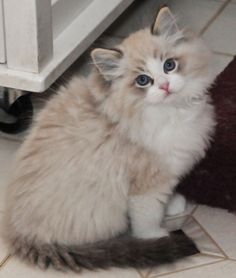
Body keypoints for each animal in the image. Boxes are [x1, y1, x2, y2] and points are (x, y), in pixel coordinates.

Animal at [3, 5, 216, 272]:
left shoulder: (169, 170)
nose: (165, 86)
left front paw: (174, 204)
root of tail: (17, 233)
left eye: (169, 65)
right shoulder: (146, 185)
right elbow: (148, 217)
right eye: (143, 80)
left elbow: (165, 200)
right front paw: (155, 236)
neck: (172, 112)